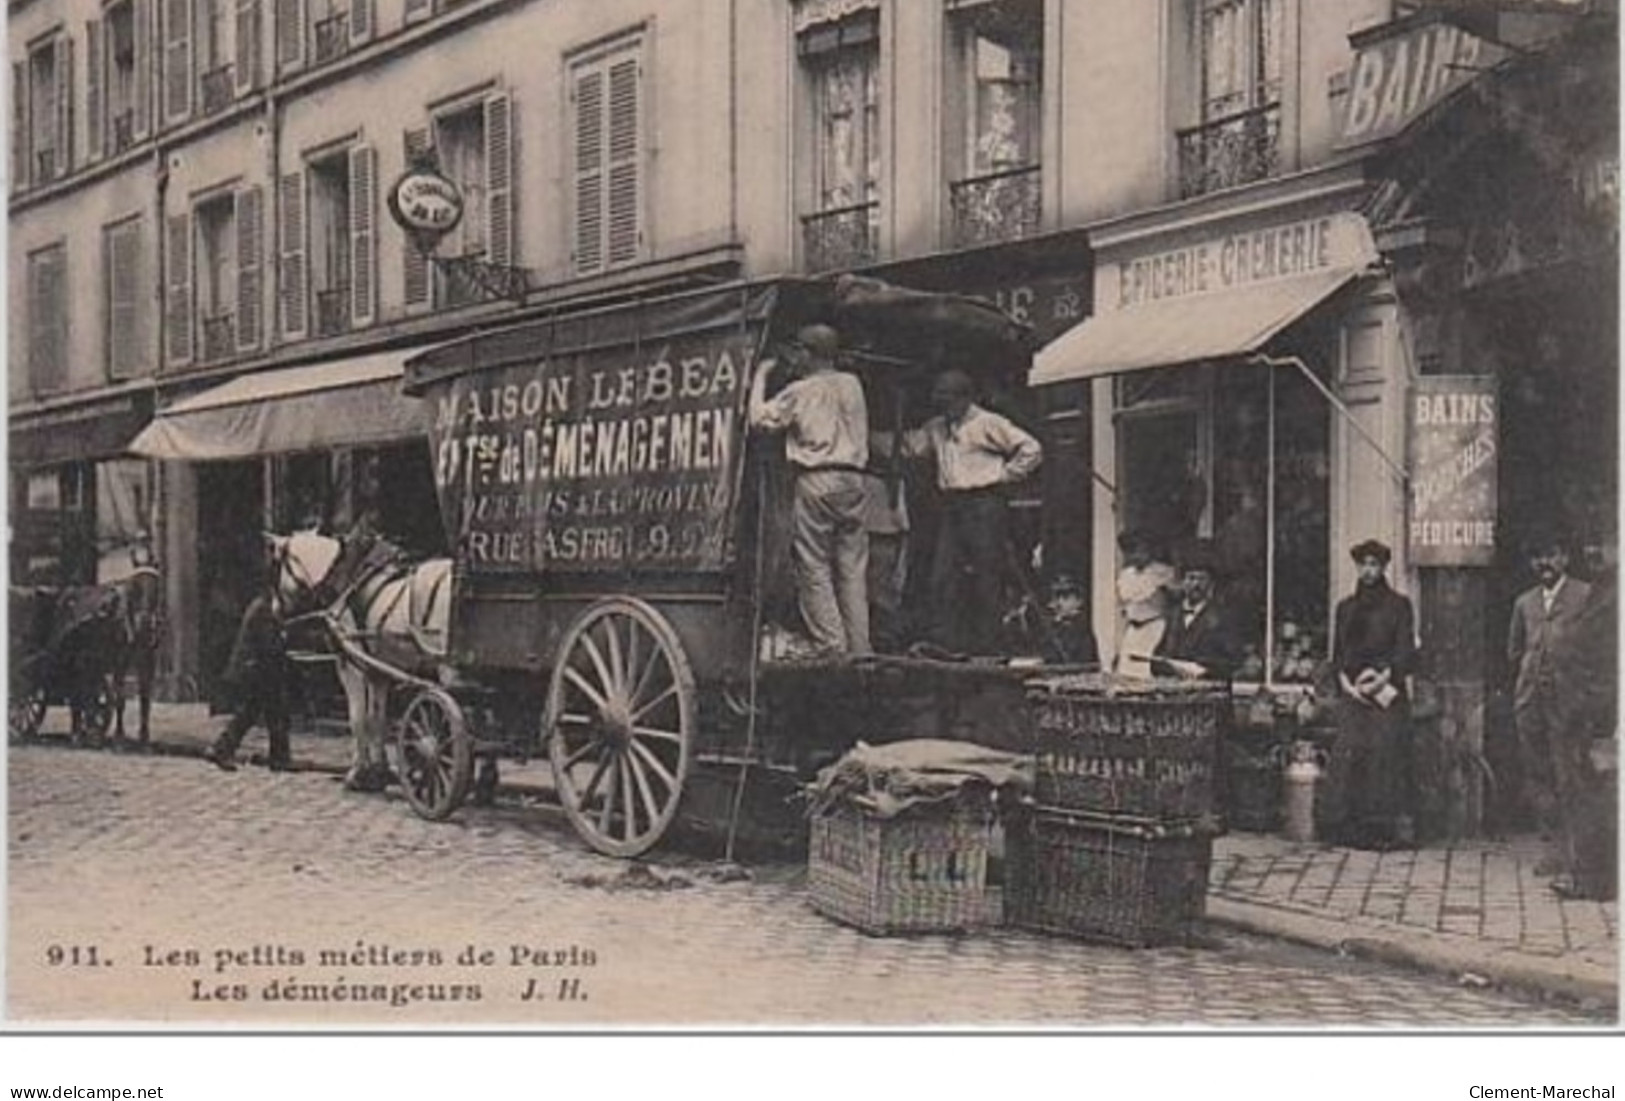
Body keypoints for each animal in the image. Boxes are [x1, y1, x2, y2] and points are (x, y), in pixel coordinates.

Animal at [266, 532, 455, 792]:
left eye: (276, 567)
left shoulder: (350, 665)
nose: (274, 611)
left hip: (447, 669)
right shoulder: (378, 672)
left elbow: (358, 718)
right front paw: (380, 771)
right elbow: (377, 718)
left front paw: (357, 772)